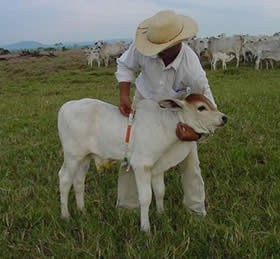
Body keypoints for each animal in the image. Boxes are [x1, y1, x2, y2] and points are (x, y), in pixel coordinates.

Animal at [57, 94, 228, 233]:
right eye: (201, 107)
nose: (224, 118)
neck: (166, 125)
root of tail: (67, 106)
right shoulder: (142, 166)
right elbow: (146, 197)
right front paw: (145, 228)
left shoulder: (158, 168)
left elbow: (160, 192)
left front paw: (161, 214)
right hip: (72, 156)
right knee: (64, 179)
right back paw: (65, 216)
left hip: (84, 158)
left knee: (79, 182)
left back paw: (82, 210)